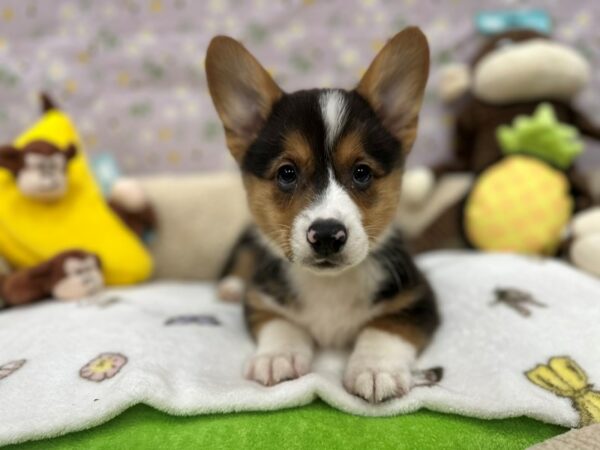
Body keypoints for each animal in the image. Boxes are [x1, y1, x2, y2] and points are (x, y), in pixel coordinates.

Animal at [207, 26, 440, 402]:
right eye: (287, 173)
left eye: (362, 172)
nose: (328, 235)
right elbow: (281, 322)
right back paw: (230, 287)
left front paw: (376, 369)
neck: (329, 285)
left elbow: (384, 327)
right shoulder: (262, 299)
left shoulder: (417, 298)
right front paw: (278, 356)